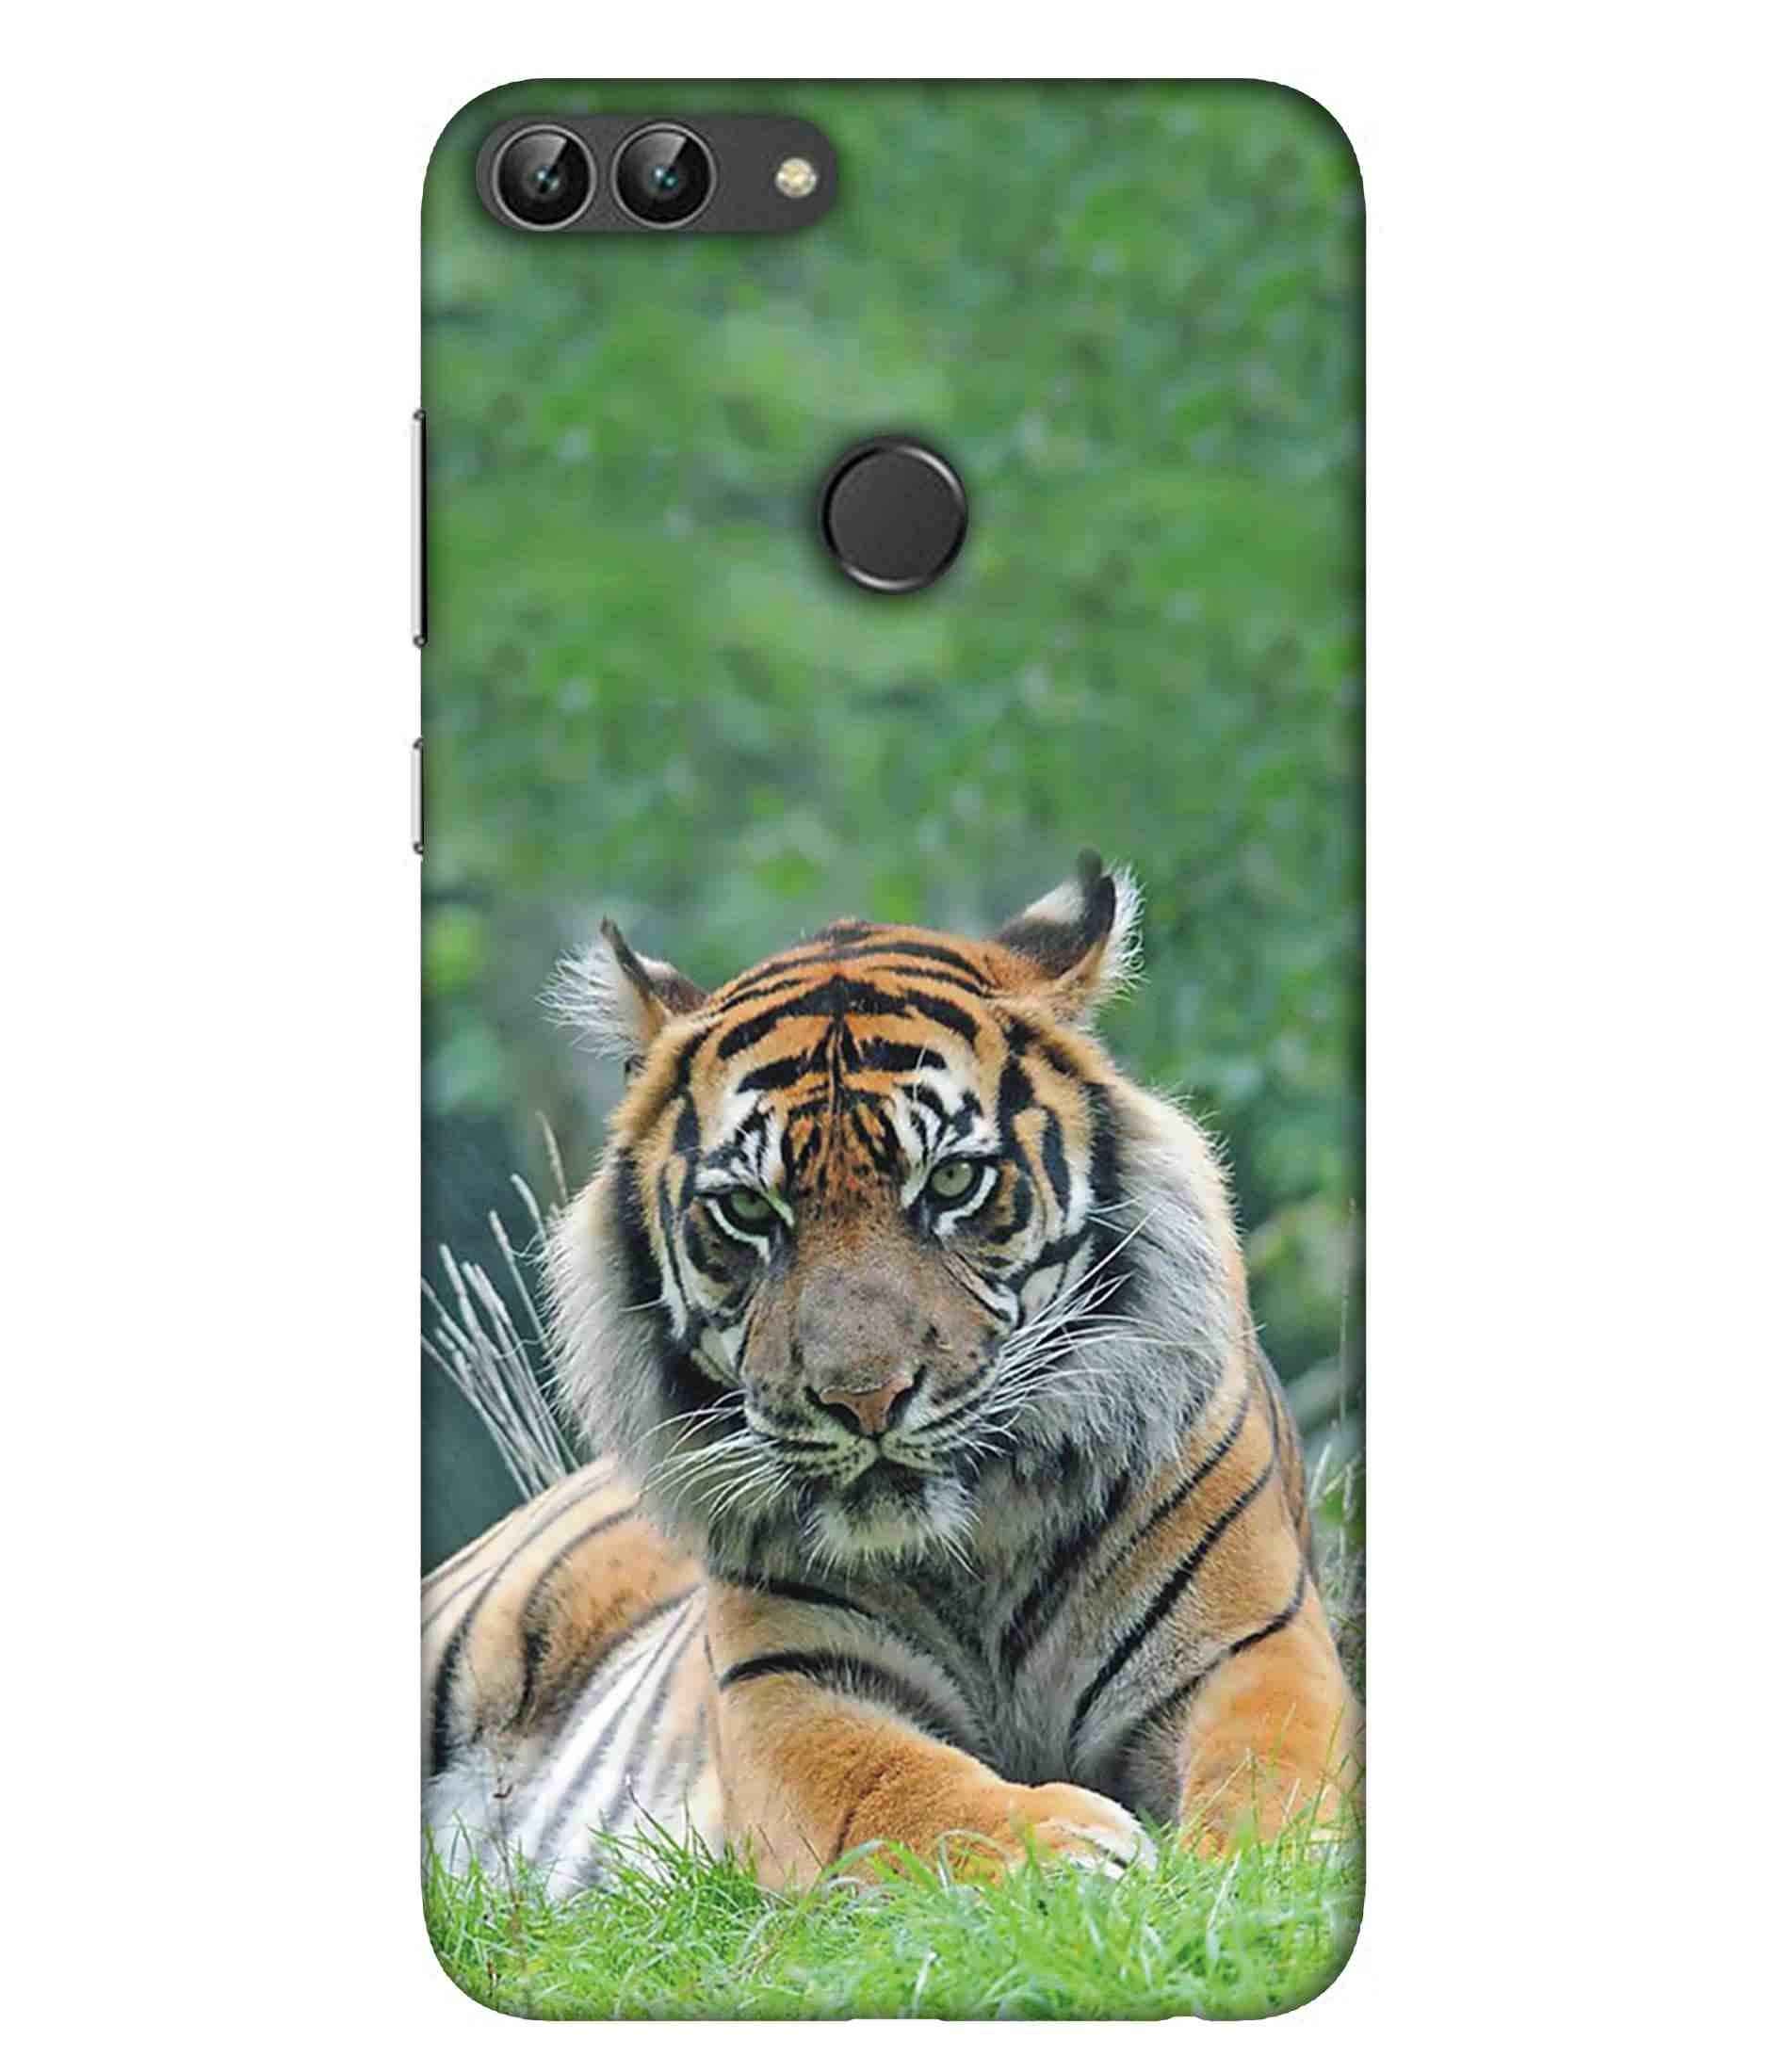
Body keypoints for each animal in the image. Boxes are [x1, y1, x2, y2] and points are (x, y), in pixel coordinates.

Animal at [423, 853, 1360, 1894]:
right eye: (749, 1209)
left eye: (951, 1182)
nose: (862, 1398)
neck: (978, 1547)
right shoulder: (788, 1692)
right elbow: (899, 1788)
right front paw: (1069, 1846)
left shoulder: (1252, 1649)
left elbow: (1270, 1783)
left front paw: (1240, 1875)